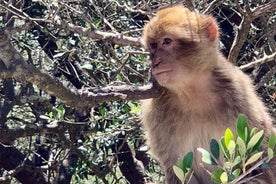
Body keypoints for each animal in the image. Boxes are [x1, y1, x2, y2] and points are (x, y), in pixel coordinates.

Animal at [141, 5, 274, 183]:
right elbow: (175, 166)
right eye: (153, 45)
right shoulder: (155, 113)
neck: (192, 91)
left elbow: (262, 157)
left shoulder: (239, 96)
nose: (155, 63)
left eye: (167, 41)